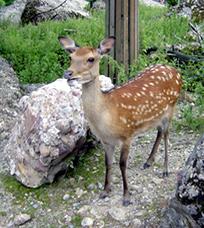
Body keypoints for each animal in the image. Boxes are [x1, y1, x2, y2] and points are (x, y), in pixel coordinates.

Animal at [58, 36, 182, 206]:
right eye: (71, 57)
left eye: (90, 59)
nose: (68, 73)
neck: (106, 117)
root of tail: (176, 71)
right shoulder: (105, 141)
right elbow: (108, 163)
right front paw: (105, 190)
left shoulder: (127, 134)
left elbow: (122, 164)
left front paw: (126, 196)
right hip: (158, 115)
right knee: (159, 131)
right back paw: (148, 161)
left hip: (171, 108)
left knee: (167, 135)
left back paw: (165, 169)